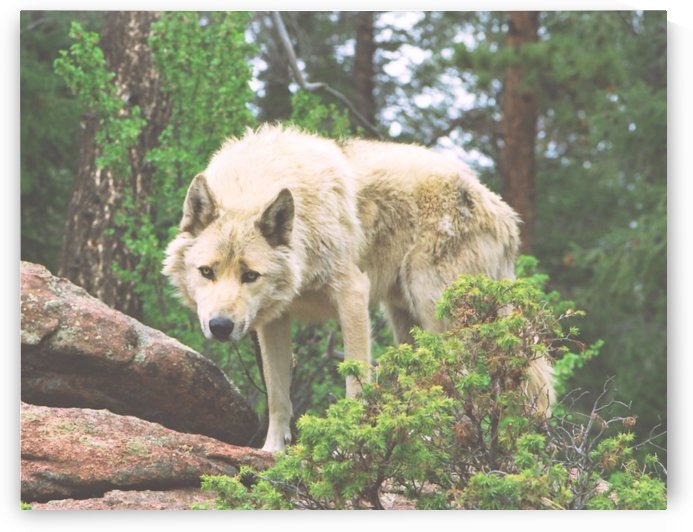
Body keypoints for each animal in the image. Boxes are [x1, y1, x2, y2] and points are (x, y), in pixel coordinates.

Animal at [163, 124, 554, 452]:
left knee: (462, 383)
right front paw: (272, 452)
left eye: (250, 275)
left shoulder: (352, 295)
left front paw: (351, 447)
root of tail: (505, 215)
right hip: (406, 322)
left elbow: (356, 384)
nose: (220, 327)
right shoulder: (273, 322)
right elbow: (277, 396)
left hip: (435, 312)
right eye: (207, 272)